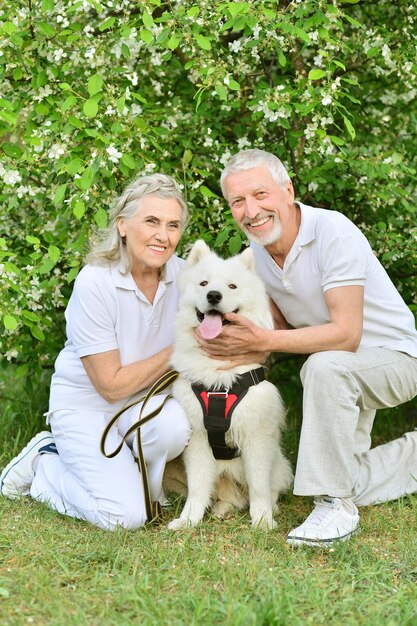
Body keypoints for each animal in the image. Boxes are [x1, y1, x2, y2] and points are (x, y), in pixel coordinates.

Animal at [167, 239, 292, 528]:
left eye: (232, 286)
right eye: (203, 283)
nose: (214, 295)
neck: (218, 380)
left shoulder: (257, 438)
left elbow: (259, 487)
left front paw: (262, 522)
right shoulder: (198, 439)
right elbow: (197, 487)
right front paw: (188, 521)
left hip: (279, 462)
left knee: (268, 489)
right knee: (229, 496)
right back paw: (223, 508)